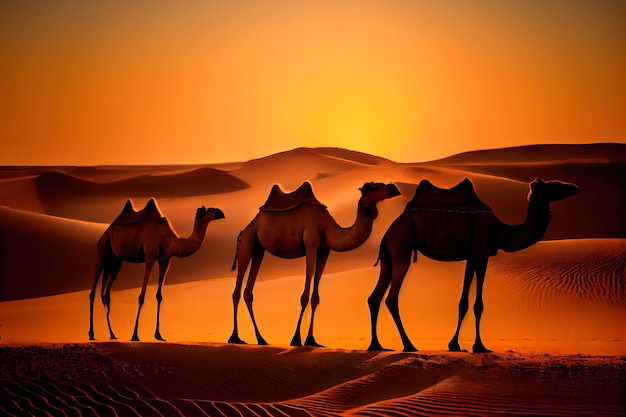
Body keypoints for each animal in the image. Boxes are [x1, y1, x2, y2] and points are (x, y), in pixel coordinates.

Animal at [88, 198, 224, 342]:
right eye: (209, 209)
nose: (221, 212)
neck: (173, 241)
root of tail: (105, 232)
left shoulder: (165, 260)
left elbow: (159, 296)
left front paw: (158, 335)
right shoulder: (150, 257)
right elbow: (141, 297)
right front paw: (135, 335)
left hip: (116, 261)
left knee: (106, 293)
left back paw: (112, 334)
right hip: (102, 251)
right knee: (93, 292)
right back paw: (92, 334)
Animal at [229, 180, 400, 346]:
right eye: (375, 187)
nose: (394, 188)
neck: (329, 228)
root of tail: (243, 230)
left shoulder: (324, 249)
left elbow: (315, 297)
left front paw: (311, 340)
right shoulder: (311, 243)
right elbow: (304, 295)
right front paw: (296, 339)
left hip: (259, 248)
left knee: (248, 292)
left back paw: (261, 339)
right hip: (247, 242)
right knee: (236, 291)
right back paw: (235, 338)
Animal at [366, 177, 576, 352]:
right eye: (553, 185)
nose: (575, 187)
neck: (498, 230)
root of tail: (386, 234)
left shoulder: (471, 257)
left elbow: (463, 303)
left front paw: (454, 345)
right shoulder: (481, 253)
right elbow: (478, 304)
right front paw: (479, 346)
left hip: (388, 257)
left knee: (374, 297)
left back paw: (376, 345)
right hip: (401, 247)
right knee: (391, 298)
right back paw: (409, 345)